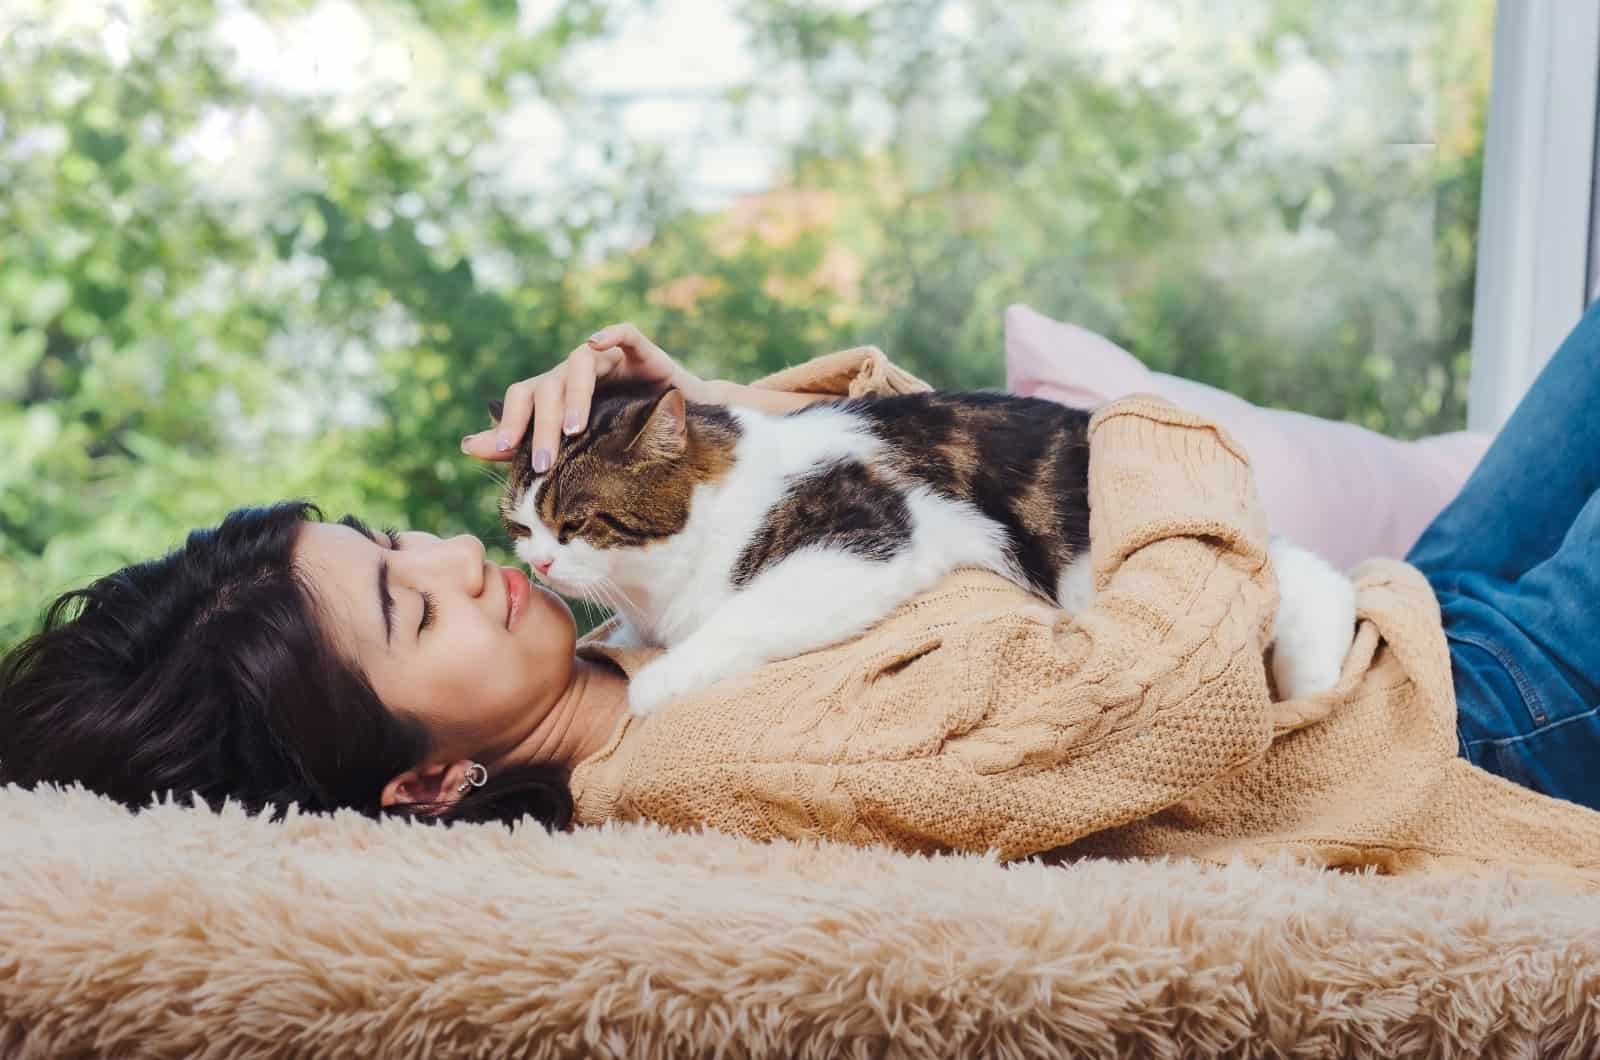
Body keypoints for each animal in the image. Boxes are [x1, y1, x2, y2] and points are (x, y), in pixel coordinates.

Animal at [496, 385, 1350, 717]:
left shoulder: (868, 533)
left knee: (1309, 575)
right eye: (521, 527)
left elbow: (740, 617)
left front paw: (654, 681)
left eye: (577, 522)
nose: (537, 566)